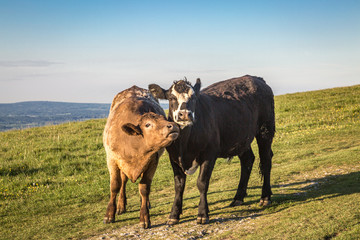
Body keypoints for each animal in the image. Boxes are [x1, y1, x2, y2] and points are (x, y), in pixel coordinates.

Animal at [102, 85, 179, 228]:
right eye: (148, 124)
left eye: (164, 119)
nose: (173, 126)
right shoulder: (112, 159)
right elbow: (115, 185)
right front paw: (109, 214)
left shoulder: (152, 161)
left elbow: (144, 188)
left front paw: (144, 217)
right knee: (123, 181)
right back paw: (121, 205)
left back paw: (146, 203)